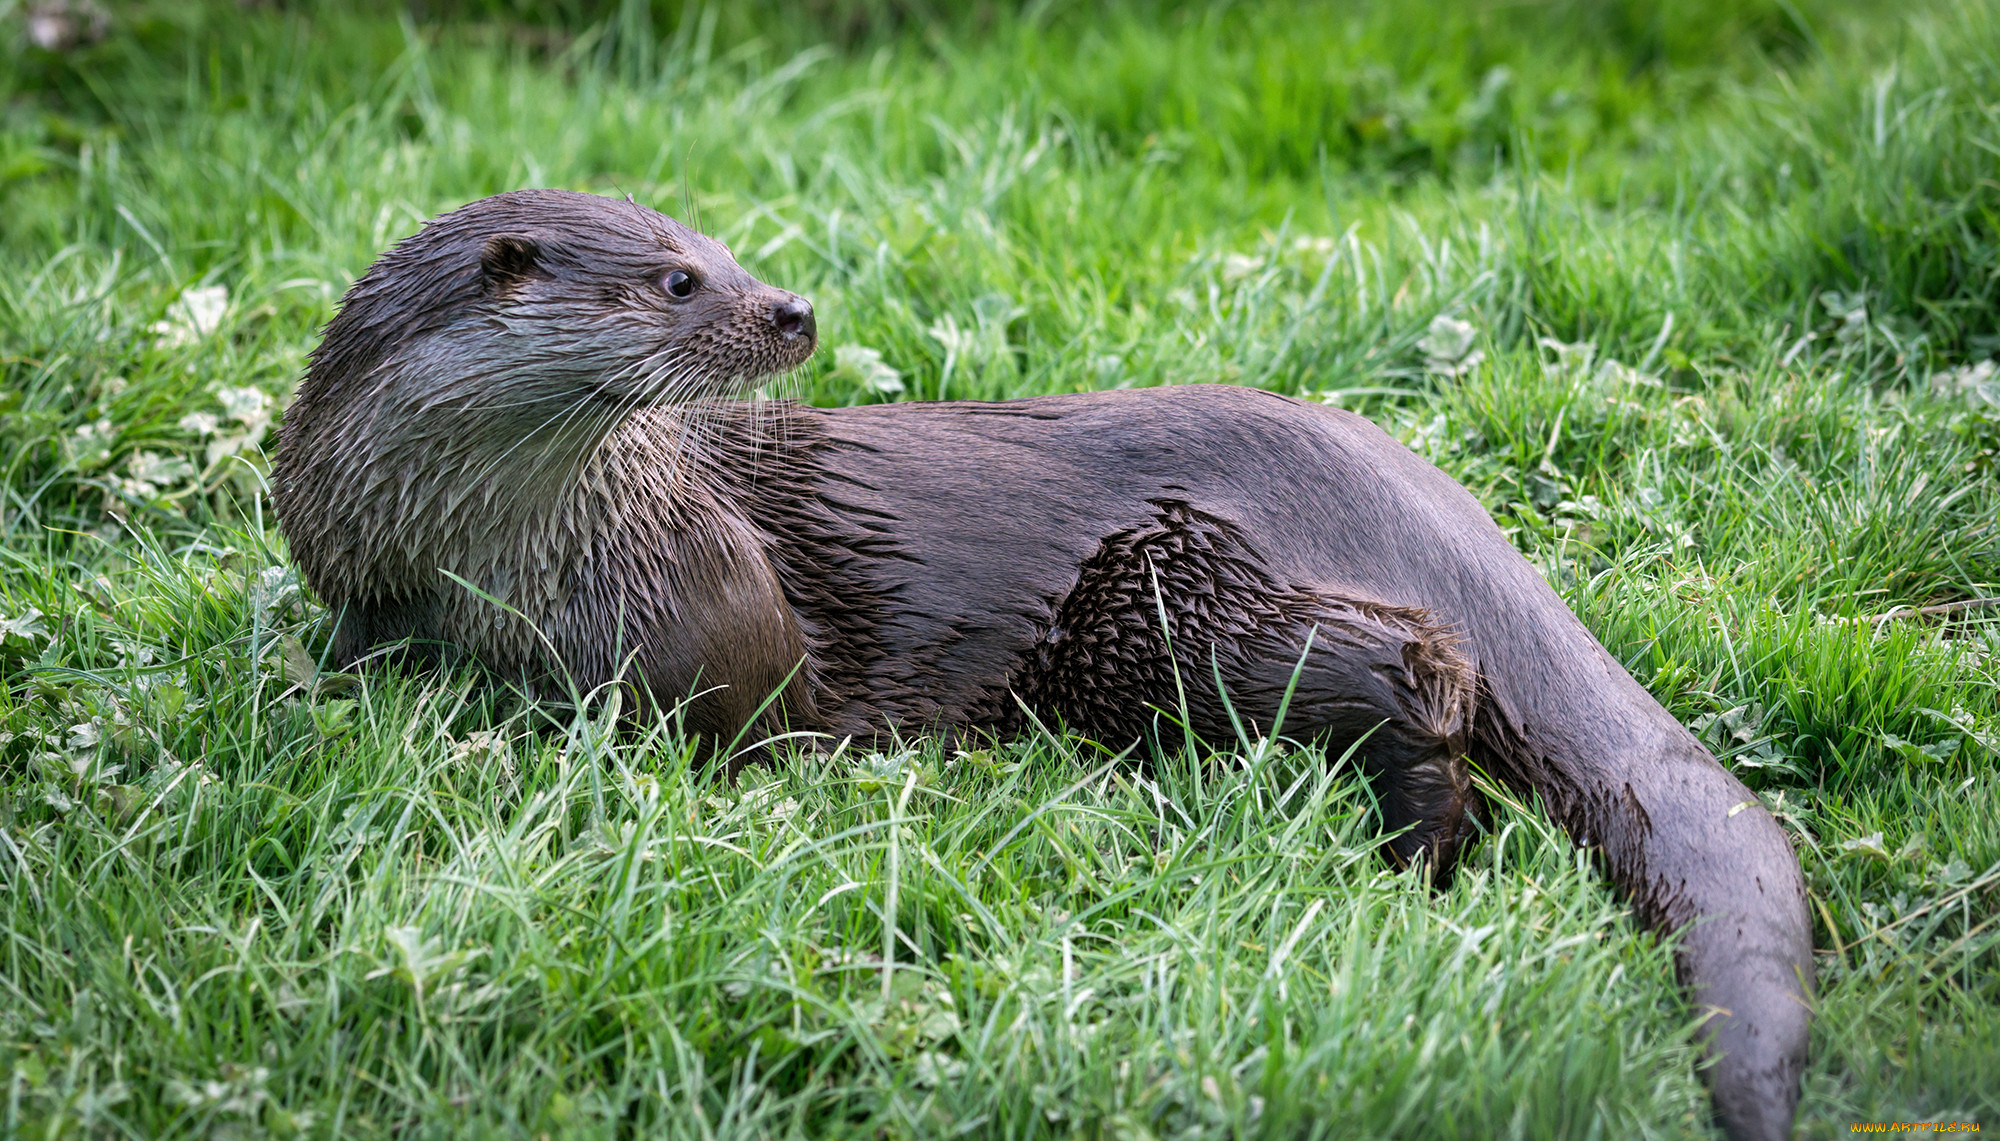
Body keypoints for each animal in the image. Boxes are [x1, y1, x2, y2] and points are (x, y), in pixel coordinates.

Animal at [274, 189, 1824, 1136]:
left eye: (722, 254)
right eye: (675, 278)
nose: (793, 311)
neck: (503, 562)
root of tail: (1376, 460)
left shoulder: (718, 608)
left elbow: (748, 728)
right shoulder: (358, 572)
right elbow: (351, 652)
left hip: (1158, 605)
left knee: (1408, 667)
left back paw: (1412, 851)